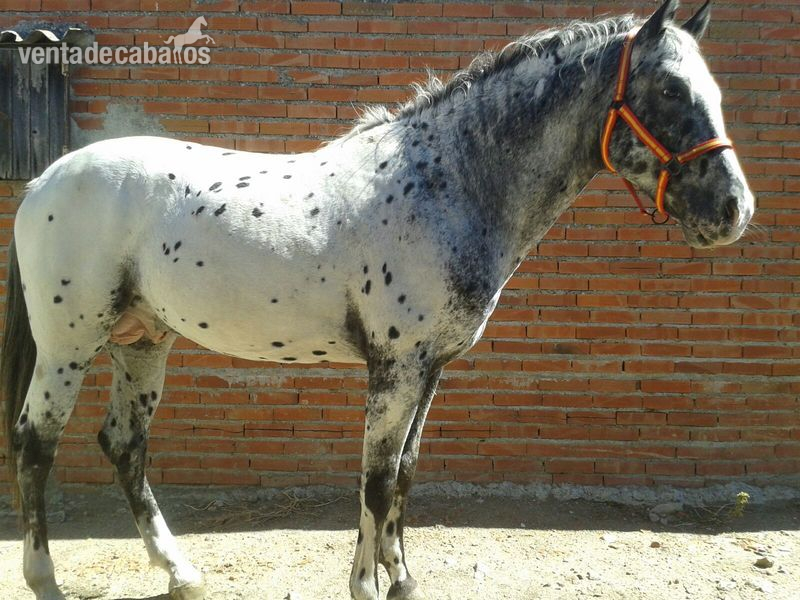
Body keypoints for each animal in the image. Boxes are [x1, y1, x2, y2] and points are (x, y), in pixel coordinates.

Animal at [2, 1, 753, 598]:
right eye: (668, 87)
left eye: (714, 89)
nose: (733, 210)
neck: (444, 183)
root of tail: (44, 180)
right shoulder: (394, 367)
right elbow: (376, 477)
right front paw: (367, 584)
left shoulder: (430, 369)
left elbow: (405, 475)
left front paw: (403, 580)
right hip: (69, 344)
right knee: (36, 441)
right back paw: (46, 580)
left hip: (144, 340)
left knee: (124, 444)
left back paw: (182, 573)